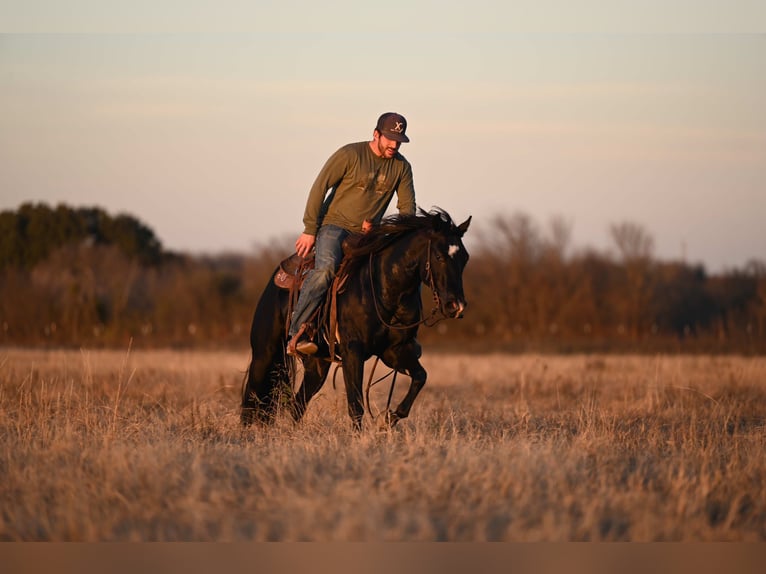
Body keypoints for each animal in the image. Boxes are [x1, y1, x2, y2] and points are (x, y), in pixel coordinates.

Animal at [240, 209, 472, 430]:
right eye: (440, 257)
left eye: (465, 259)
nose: (456, 306)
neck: (383, 287)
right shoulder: (353, 352)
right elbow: (356, 404)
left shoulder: (394, 351)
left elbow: (420, 377)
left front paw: (387, 420)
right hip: (265, 353)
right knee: (251, 394)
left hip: (317, 363)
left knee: (298, 403)